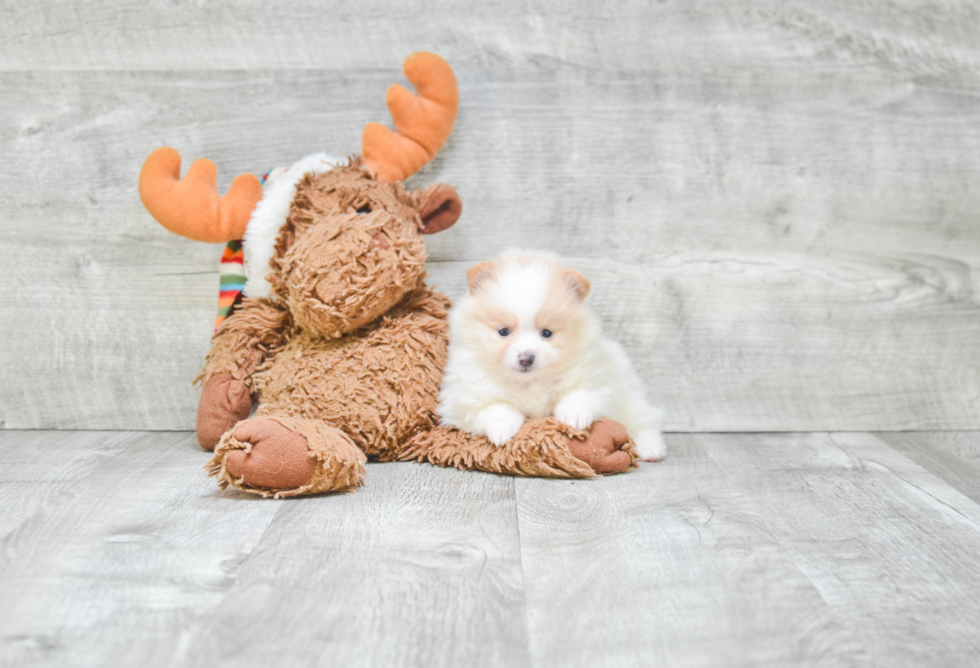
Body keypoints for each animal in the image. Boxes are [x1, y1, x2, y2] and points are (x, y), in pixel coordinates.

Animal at [436, 248, 668, 462]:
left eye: (546, 333)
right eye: (503, 332)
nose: (526, 358)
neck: (529, 382)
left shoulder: (597, 378)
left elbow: (580, 394)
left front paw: (574, 416)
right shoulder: (462, 399)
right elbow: (495, 407)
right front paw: (502, 429)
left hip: (629, 395)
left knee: (644, 421)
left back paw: (650, 449)